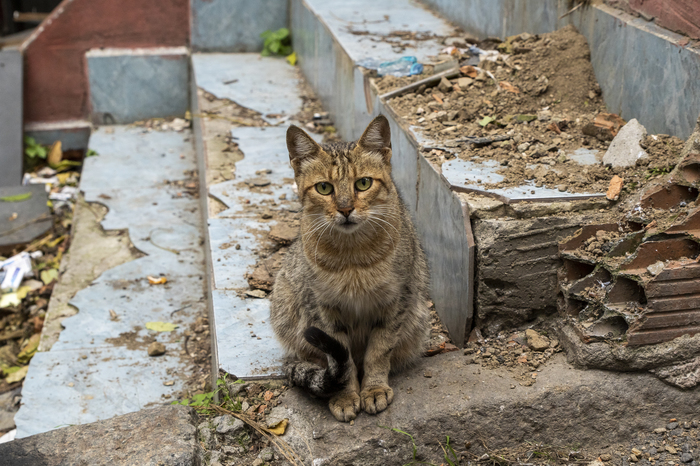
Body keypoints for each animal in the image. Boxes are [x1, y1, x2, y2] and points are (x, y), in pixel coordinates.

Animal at [270, 114, 430, 422]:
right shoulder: (321, 309)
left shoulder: (397, 300)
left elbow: (379, 351)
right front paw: (346, 396)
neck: (353, 256)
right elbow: (340, 361)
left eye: (363, 183)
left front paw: (374, 389)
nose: (345, 209)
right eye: (324, 188)